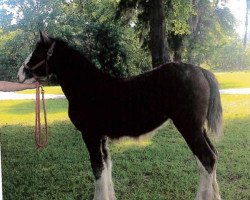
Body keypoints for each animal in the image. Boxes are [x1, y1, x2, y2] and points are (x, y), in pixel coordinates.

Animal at [17, 31, 223, 200]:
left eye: (37, 51)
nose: (20, 74)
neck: (88, 86)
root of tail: (201, 71)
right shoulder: (101, 137)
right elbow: (106, 166)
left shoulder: (90, 135)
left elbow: (98, 169)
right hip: (198, 128)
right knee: (211, 157)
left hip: (188, 127)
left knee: (207, 159)